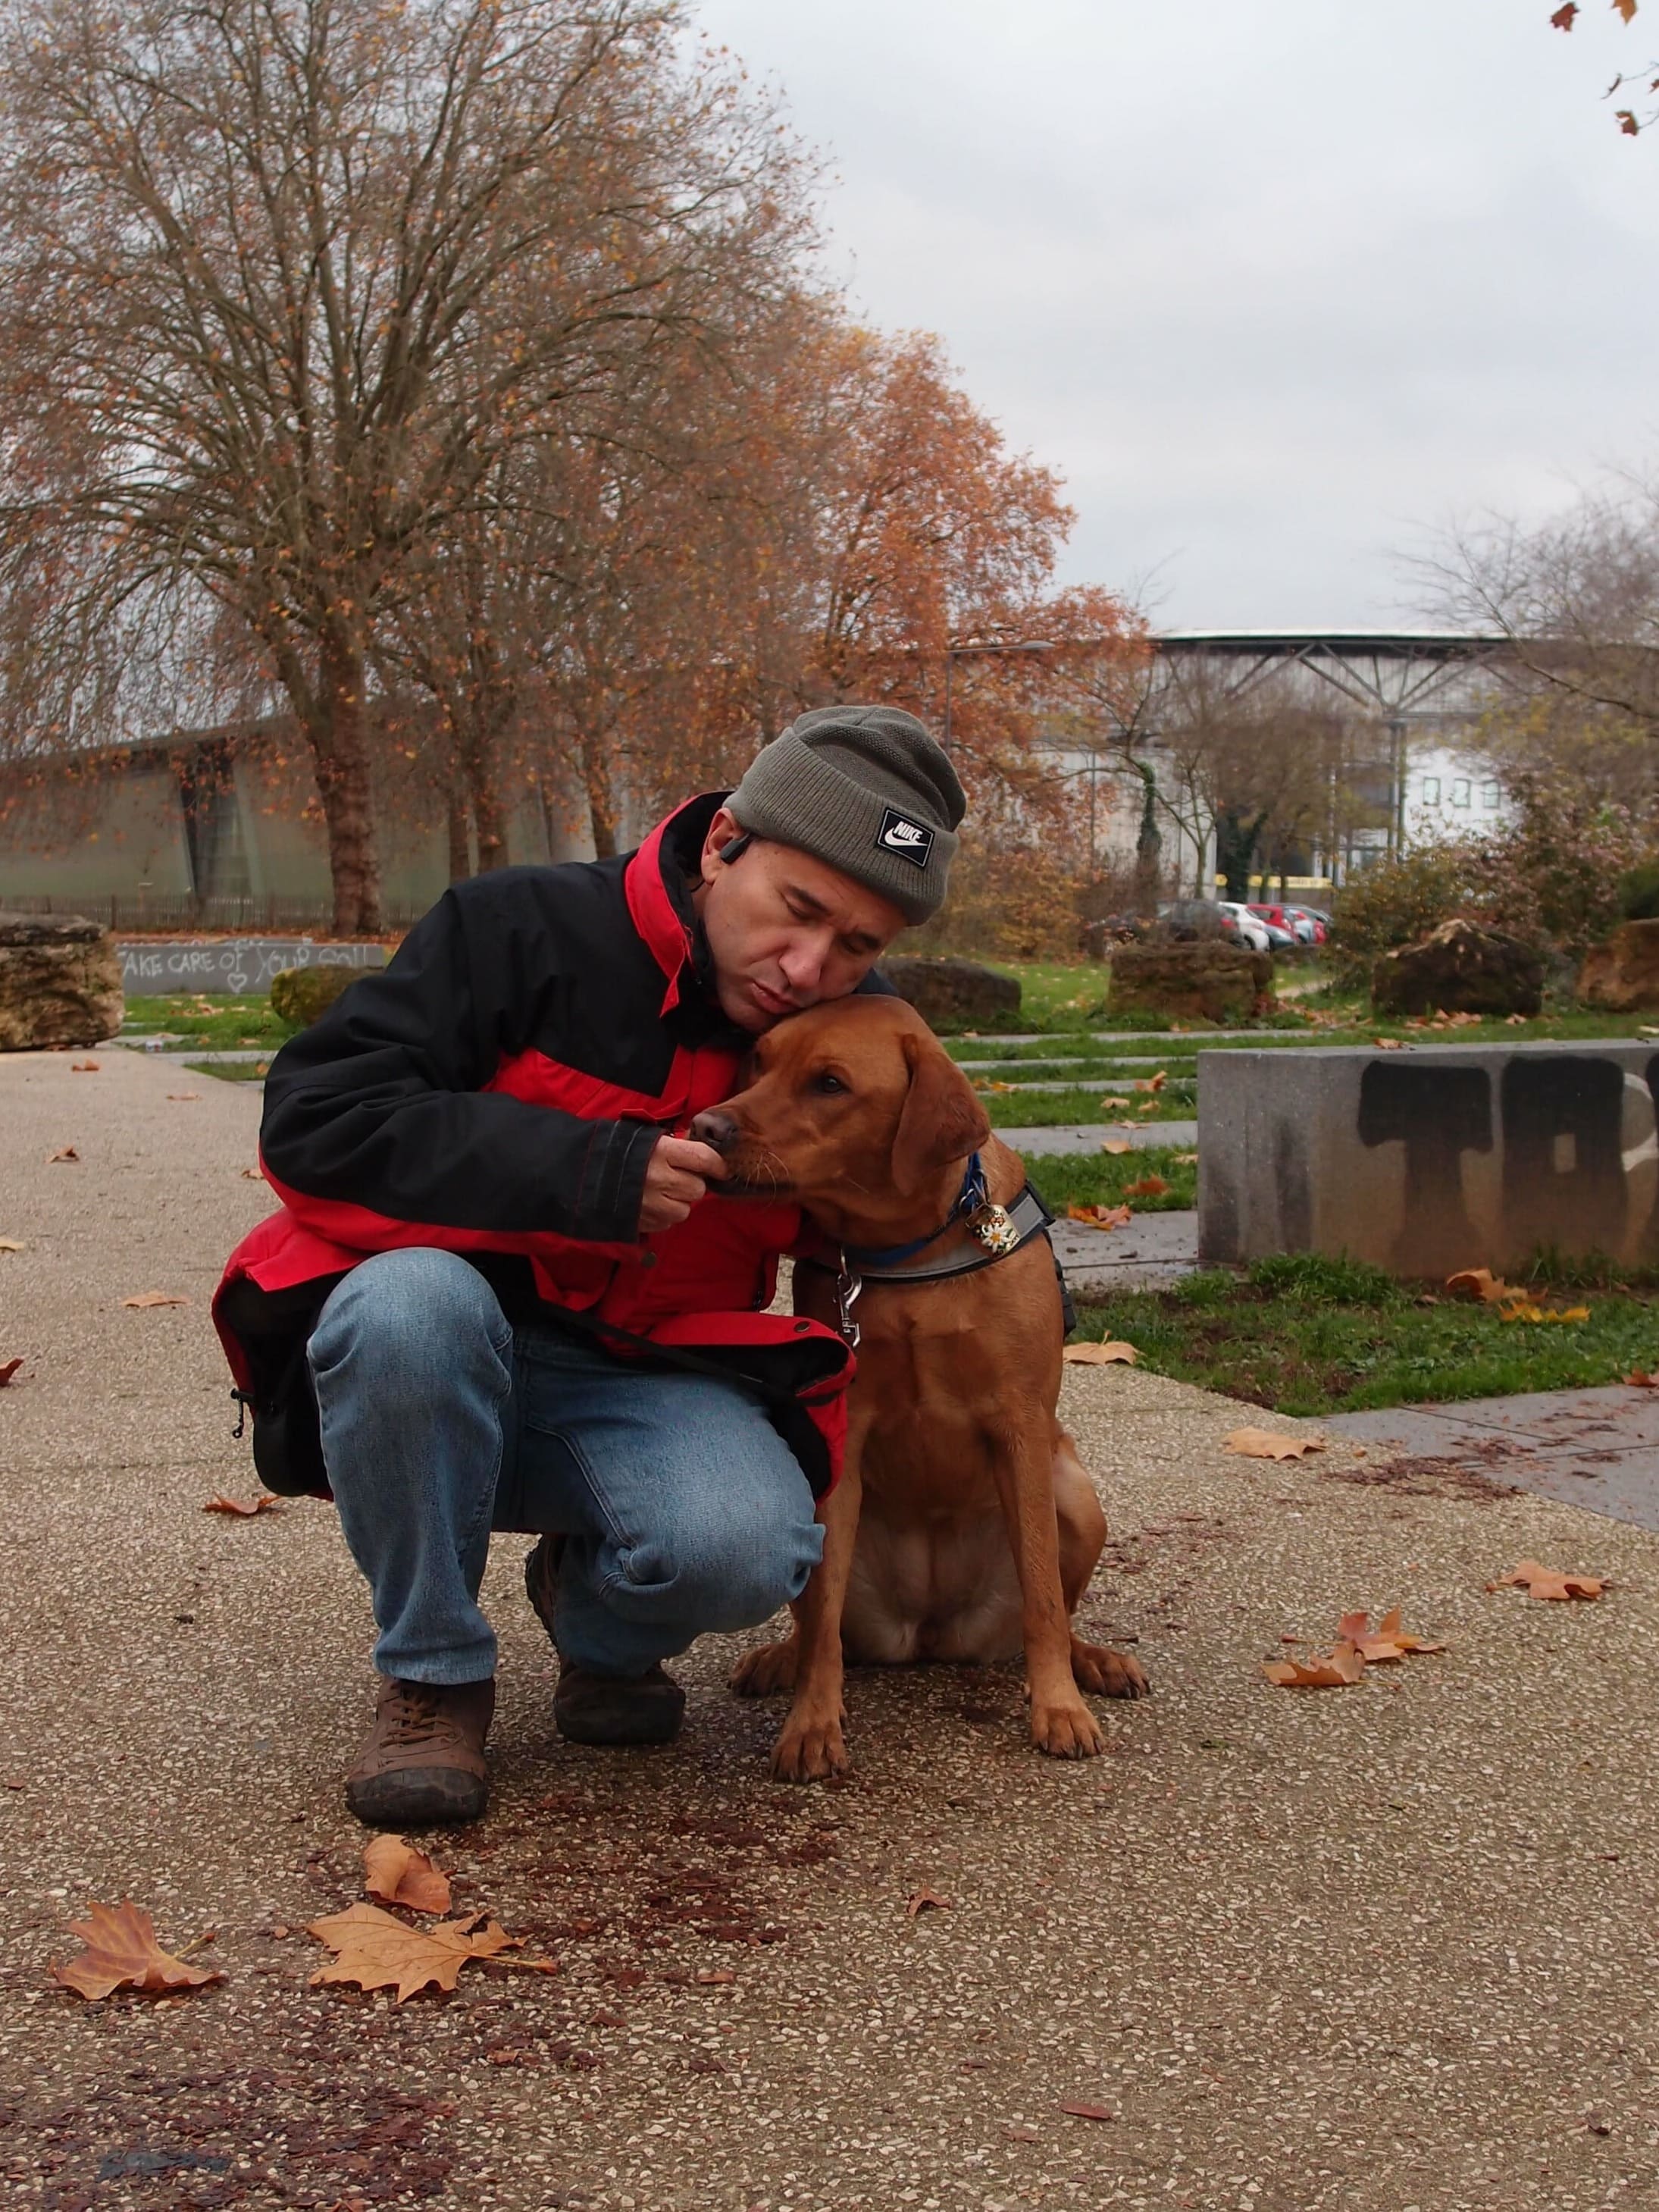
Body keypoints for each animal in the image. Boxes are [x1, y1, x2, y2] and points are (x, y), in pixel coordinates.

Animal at [685, 999, 1141, 1778]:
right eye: (759, 1062)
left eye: (830, 1083)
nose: (706, 1127)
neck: (907, 1250)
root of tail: (930, 1632)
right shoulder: (846, 1429)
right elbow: (823, 1627)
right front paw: (811, 1723)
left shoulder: (1020, 1427)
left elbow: (1045, 1599)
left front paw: (1057, 1706)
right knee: (820, 1622)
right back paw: (780, 1658)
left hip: (1075, 1498)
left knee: (1056, 1604)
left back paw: (1092, 1662)